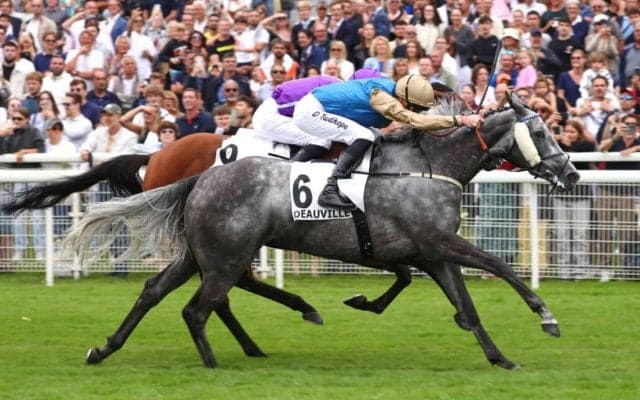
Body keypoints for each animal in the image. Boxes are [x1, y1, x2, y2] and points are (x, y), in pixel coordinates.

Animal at [65, 92, 579, 369]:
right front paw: (547, 317)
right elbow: (498, 265)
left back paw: (104, 349)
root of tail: (197, 176)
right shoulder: (438, 242)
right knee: (200, 307)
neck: (429, 166)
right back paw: (219, 359)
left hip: (201, 253)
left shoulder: (429, 253)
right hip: (227, 255)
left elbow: (466, 307)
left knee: (157, 291)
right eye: (543, 133)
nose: (572, 174)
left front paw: (500, 357)